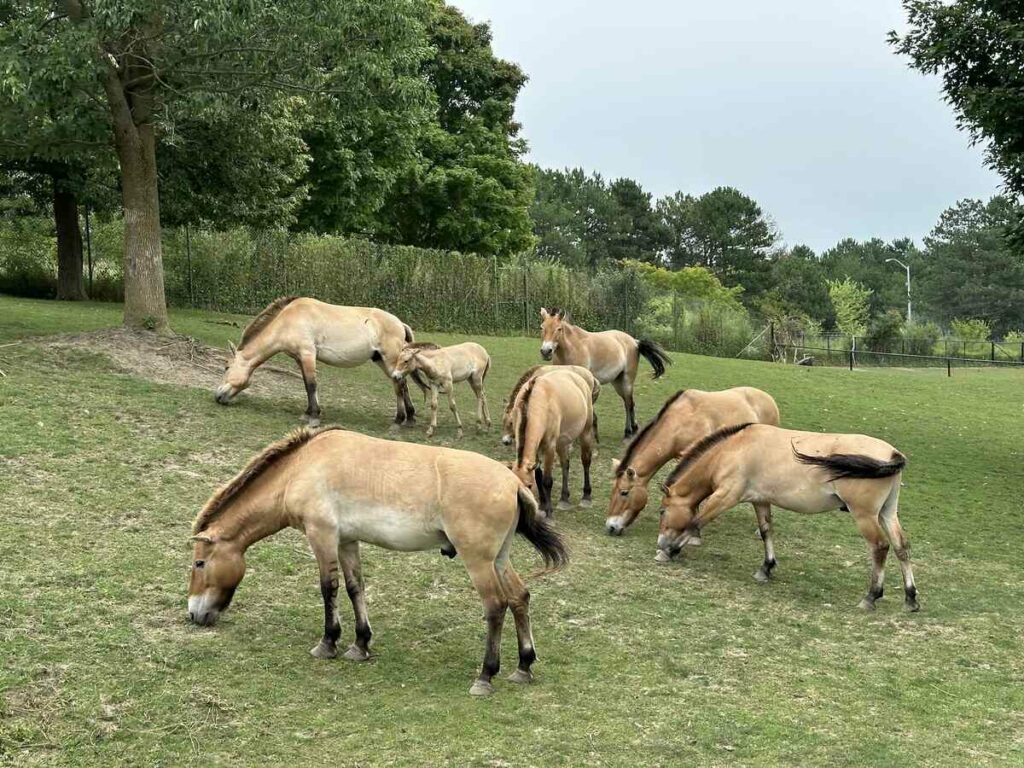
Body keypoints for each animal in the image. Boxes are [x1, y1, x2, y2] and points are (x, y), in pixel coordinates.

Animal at [188, 428, 573, 696]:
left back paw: (485, 675)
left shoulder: (322, 535)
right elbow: (354, 587)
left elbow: (328, 588)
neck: (302, 467)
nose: (195, 614)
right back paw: (523, 666)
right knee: (519, 597)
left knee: (495, 606)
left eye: (199, 564)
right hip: (499, 559)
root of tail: (512, 483)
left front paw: (327, 643)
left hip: (478, 561)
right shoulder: (347, 541)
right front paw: (360, 645)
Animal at [216, 296, 419, 430]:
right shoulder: (299, 358)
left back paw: (398, 421)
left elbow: (312, 385)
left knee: (399, 386)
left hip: (390, 360)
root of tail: (400, 323)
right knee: (403, 385)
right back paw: (409, 418)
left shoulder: (308, 354)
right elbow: (307, 386)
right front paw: (308, 413)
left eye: (226, 367)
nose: (217, 396)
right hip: (382, 361)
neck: (288, 320)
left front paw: (314, 418)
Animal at [536, 307, 671, 438]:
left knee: (629, 404)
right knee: (628, 403)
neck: (572, 348)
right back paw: (633, 428)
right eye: (542, 327)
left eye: (559, 329)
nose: (546, 351)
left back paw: (629, 431)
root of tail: (634, 341)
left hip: (627, 381)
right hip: (618, 383)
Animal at [655, 421, 921, 614]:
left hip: (865, 516)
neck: (736, 448)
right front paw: (766, 568)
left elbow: (695, 522)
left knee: (880, 547)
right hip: (887, 513)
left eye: (662, 511)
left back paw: (871, 596)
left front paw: (669, 552)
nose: (660, 542)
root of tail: (892, 453)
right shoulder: (760, 500)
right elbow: (766, 531)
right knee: (901, 547)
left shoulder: (725, 497)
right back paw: (910, 598)